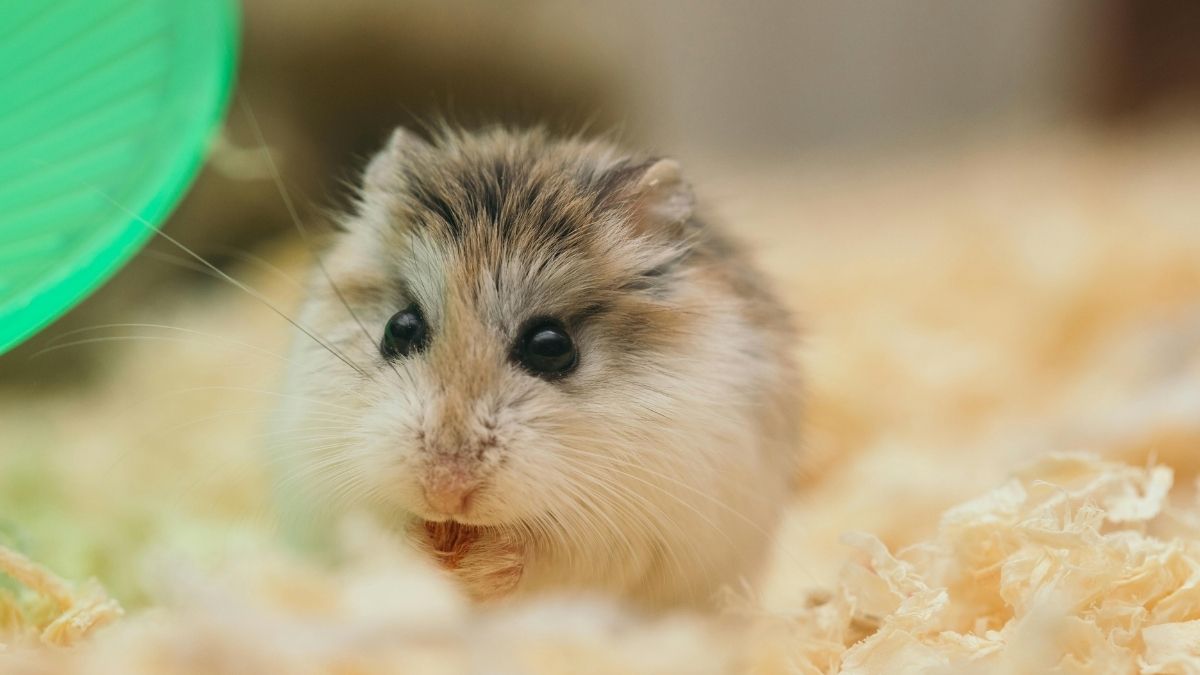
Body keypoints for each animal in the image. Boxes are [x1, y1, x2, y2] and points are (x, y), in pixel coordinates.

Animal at [275, 126, 800, 609]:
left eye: (551, 346)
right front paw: (425, 553)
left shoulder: (627, 532)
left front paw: (477, 566)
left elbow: (542, 557)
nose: (445, 493)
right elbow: (373, 534)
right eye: (399, 328)